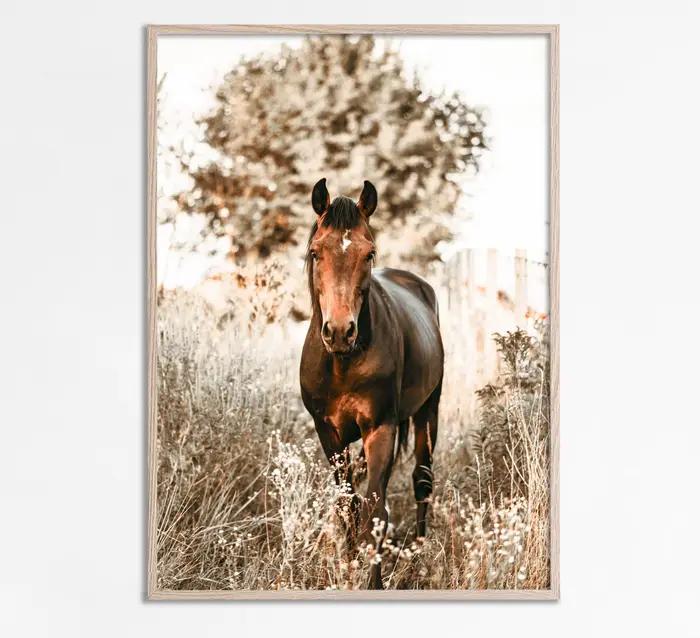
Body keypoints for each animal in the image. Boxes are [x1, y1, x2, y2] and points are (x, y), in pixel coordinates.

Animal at [299, 178, 444, 589]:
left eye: (369, 253)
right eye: (316, 252)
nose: (339, 331)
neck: (343, 362)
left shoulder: (381, 428)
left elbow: (376, 509)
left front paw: (373, 581)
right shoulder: (328, 433)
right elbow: (347, 505)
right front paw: (348, 567)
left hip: (429, 411)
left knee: (422, 481)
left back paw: (420, 556)